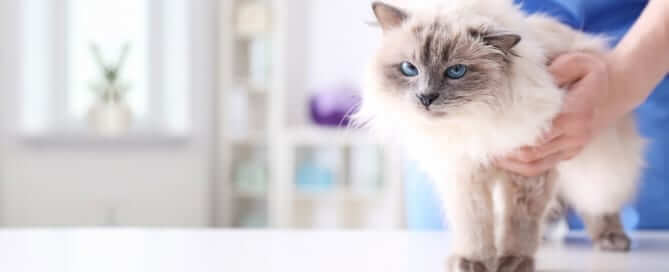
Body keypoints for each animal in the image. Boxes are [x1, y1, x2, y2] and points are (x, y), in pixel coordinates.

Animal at [358, 0, 644, 272]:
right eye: (409, 68)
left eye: (456, 71)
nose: (425, 98)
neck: (475, 120)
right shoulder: (466, 176)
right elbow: (475, 226)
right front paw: (472, 261)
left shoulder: (528, 173)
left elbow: (518, 224)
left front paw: (513, 262)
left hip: (596, 163)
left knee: (598, 201)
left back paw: (611, 239)